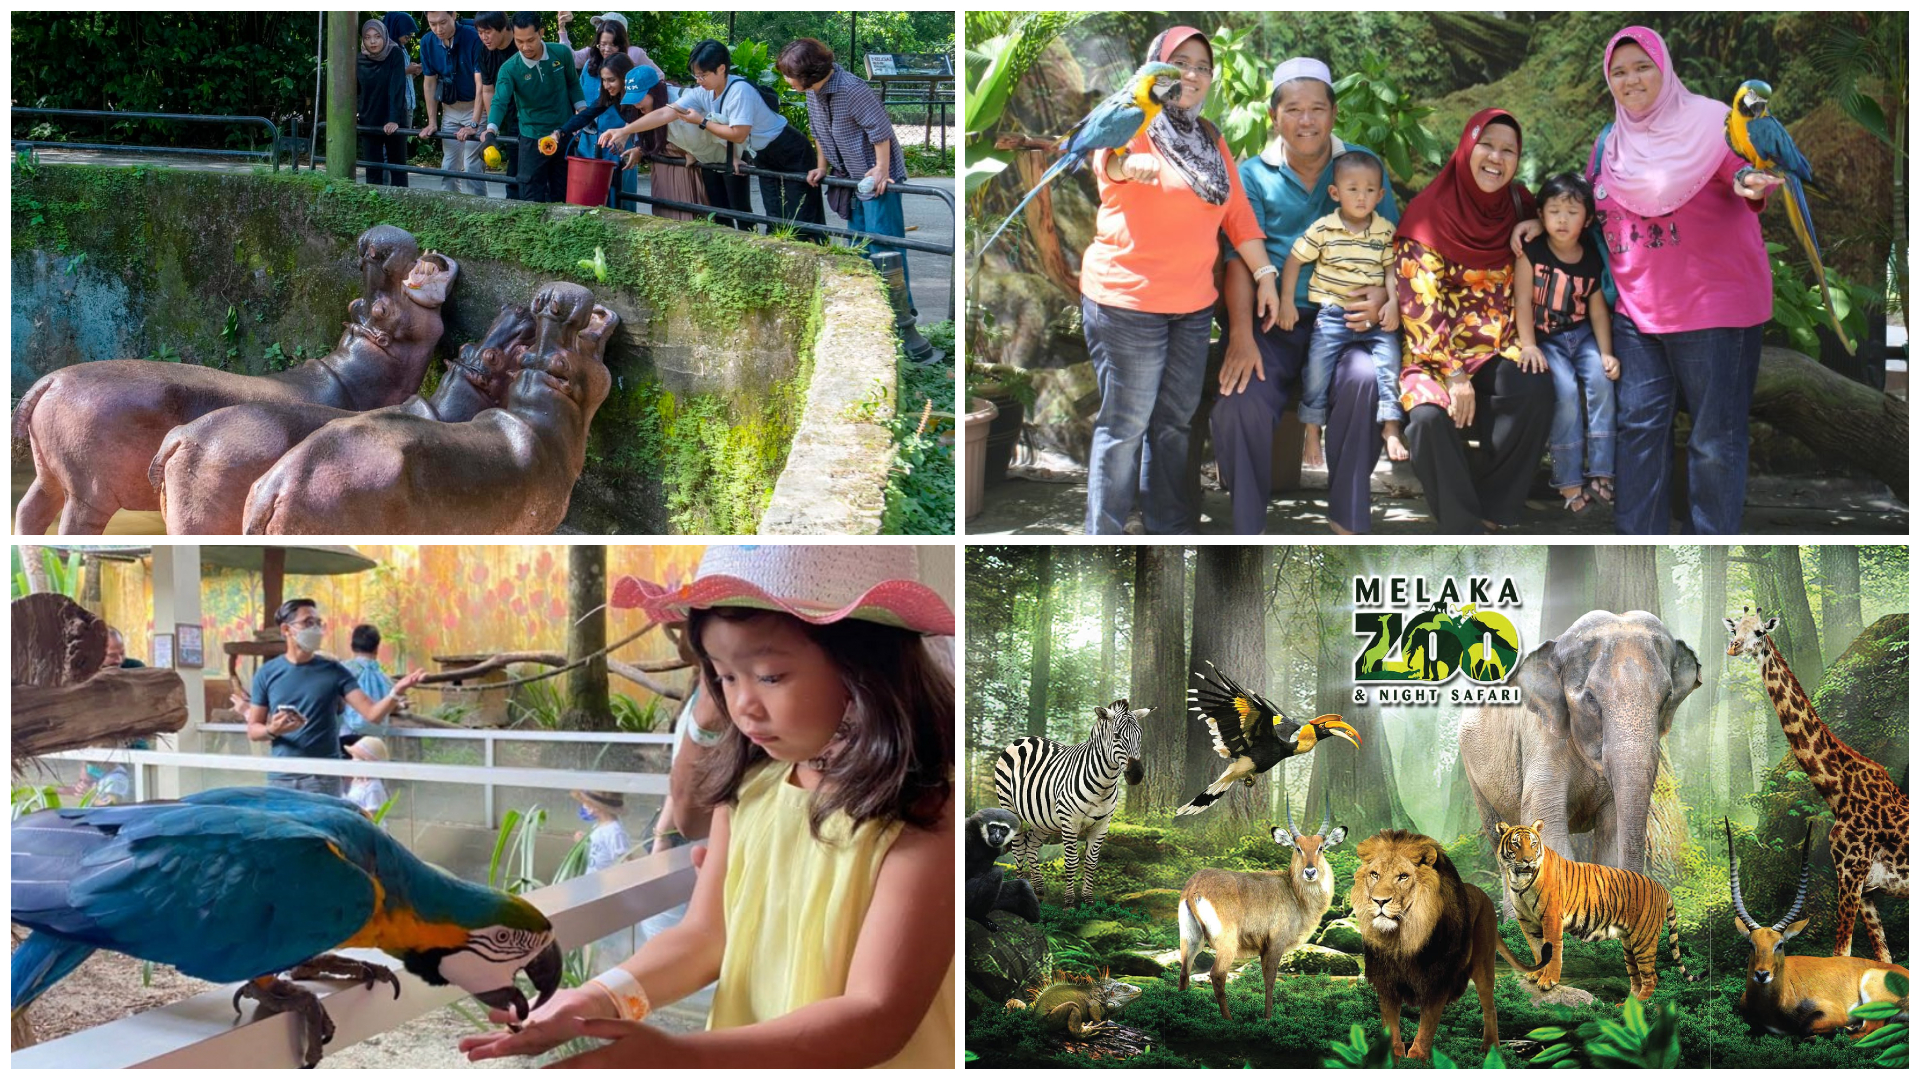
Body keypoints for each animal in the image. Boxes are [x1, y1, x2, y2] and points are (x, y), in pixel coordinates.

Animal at [990, 699, 1136, 899]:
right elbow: (1072, 861)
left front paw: (1087, 900)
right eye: (1117, 736)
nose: (1137, 773)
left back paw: (1038, 889)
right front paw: (1069, 902)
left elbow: (1091, 862)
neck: (1103, 784)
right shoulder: (1070, 821)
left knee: (1031, 845)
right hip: (1009, 805)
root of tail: (1023, 739)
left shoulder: (1102, 824)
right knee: (1019, 848)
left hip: (1043, 818)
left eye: (1140, 736)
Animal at [1351, 826, 1543, 1053]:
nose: (1379, 901)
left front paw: (1417, 1056)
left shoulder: (1438, 980)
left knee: (1490, 1007)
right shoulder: (1386, 981)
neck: (1403, 939)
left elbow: (1426, 1027)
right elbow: (1391, 1026)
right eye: (1374, 874)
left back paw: (1490, 1047)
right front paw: (1392, 1055)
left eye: (1403, 877)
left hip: (1483, 965)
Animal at [1451, 611, 1697, 880]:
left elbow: (1611, 835)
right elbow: (1546, 826)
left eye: (1667, 697)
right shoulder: (1541, 740)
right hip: (1474, 773)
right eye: (1590, 697)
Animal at [1489, 818, 1689, 999]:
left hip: (1644, 938)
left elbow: (1552, 951)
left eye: (1533, 843)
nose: (1528, 860)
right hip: (1629, 944)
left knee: (1651, 977)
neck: (1519, 881)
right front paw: (1537, 974)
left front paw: (1548, 981)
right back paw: (1624, 1007)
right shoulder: (1528, 922)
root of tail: (1662, 888)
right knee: (1636, 978)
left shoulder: (1551, 917)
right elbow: (1538, 951)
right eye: (1516, 844)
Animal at [1728, 614, 1904, 957]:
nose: (1733, 646)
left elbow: (1842, 953)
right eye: (1734, 629)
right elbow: (1883, 956)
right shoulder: (1866, 887)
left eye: (1759, 631)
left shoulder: (1850, 871)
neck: (1838, 791)